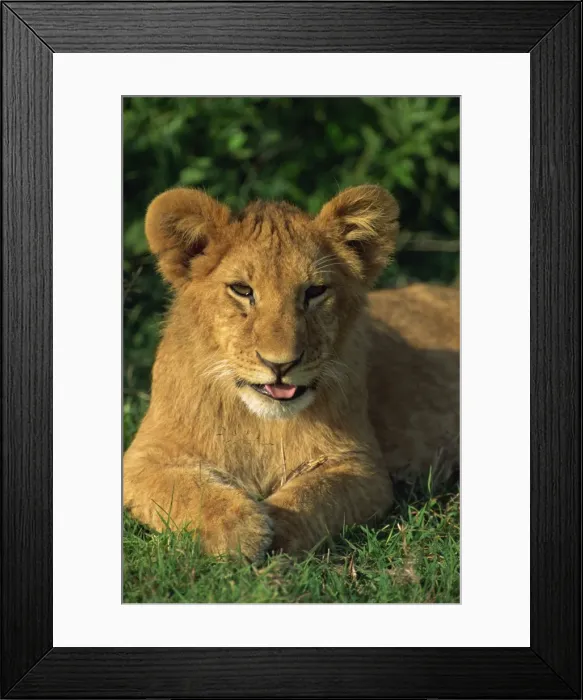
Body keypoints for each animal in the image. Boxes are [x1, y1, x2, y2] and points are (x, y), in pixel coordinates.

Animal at [124, 185, 459, 560]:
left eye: (314, 291)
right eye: (242, 290)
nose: (280, 364)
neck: (260, 423)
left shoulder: (361, 465)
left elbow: (315, 495)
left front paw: (274, 531)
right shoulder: (143, 458)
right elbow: (185, 490)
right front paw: (238, 528)